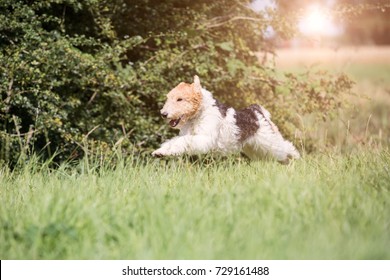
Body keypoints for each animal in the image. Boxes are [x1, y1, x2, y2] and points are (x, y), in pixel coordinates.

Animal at [151, 75, 300, 163]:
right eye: (168, 97)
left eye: (180, 99)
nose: (163, 113)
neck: (199, 113)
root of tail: (257, 111)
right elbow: (173, 142)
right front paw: (160, 152)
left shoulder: (205, 138)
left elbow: (182, 141)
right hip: (255, 149)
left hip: (270, 142)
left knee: (287, 146)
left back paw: (296, 157)